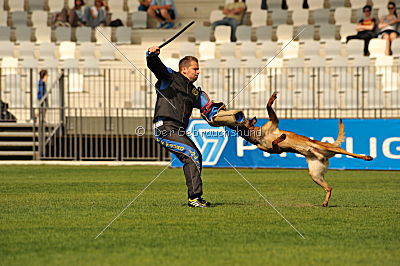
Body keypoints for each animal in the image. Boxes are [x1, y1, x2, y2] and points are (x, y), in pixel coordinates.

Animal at [230, 92, 374, 207]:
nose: (252, 117)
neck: (257, 135)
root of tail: (323, 155)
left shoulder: (273, 122)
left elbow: (268, 106)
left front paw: (271, 99)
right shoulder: (276, 150)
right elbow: (275, 142)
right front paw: (281, 137)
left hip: (324, 147)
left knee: (347, 152)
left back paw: (366, 157)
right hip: (315, 175)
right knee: (329, 188)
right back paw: (325, 202)